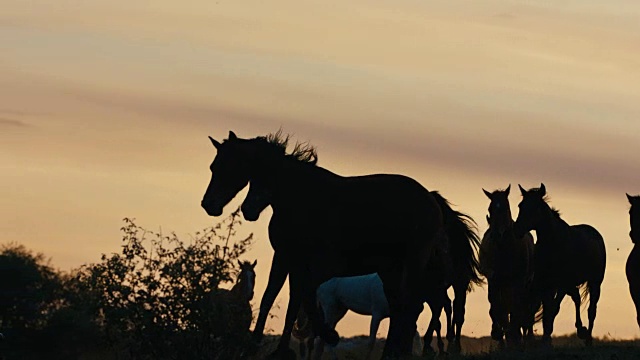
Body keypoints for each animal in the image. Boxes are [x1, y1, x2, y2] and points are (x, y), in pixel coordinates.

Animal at [201, 131, 450, 358]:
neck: (299, 198)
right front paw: (259, 347)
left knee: (411, 308)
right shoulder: (285, 257)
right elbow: (274, 298)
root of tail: (432, 200)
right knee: (400, 308)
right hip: (390, 269)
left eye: (225, 166)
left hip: (412, 263)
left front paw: (326, 336)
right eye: (213, 166)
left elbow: (302, 297)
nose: (208, 204)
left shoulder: (313, 263)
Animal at [480, 186, 536, 348]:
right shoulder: (494, 280)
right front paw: (498, 333)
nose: (497, 235)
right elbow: (496, 306)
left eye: (505, 207)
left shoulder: (518, 281)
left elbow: (515, 306)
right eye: (490, 208)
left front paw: (514, 335)